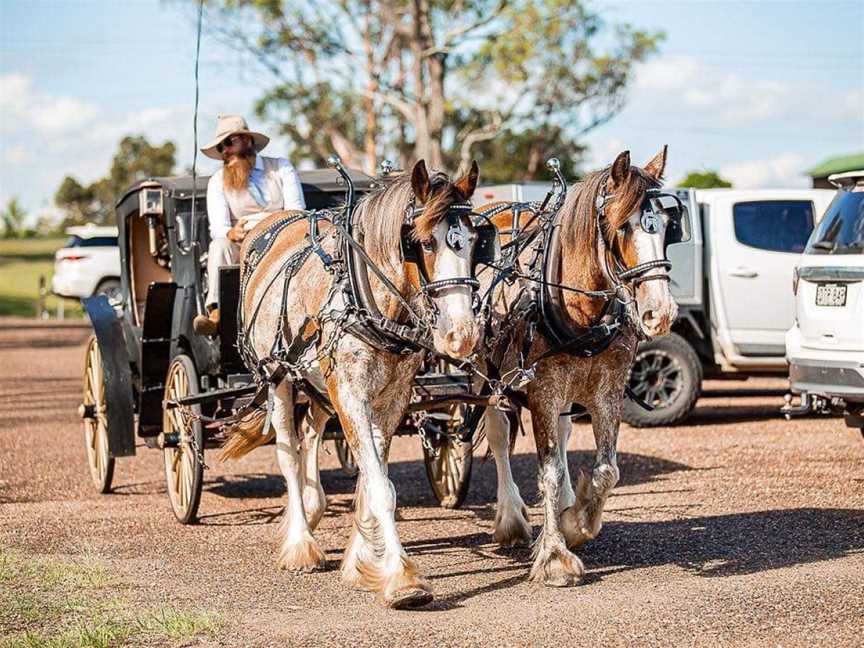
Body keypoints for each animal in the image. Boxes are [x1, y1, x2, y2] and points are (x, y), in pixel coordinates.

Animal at [223, 161, 486, 608]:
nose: (461, 335)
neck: (367, 300)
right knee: (289, 454)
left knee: (311, 433)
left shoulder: (391, 400)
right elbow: (380, 486)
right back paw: (300, 543)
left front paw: (361, 560)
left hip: (316, 386)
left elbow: (371, 479)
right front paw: (402, 580)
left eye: (473, 241)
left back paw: (313, 508)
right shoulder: (350, 396)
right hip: (278, 378)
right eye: (424, 243)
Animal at [480, 149, 676, 584]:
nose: (660, 312)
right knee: (499, 437)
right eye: (621, 227)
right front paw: (555, 556)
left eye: (670, 226)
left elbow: (607, 471)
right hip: (488, 379)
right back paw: (510, 517)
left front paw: (577, 522)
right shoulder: (541, 393)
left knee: (566, 434)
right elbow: (548, 472)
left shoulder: (608, 391)